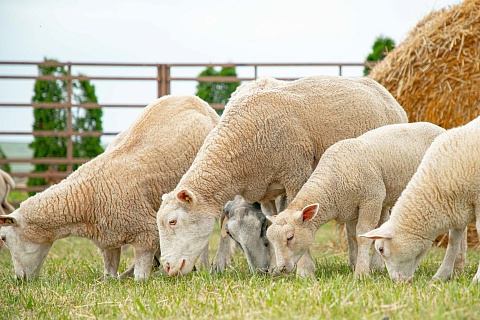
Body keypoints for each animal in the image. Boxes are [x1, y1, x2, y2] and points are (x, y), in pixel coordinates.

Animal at [0, 95, 219, 280]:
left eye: (3, 238)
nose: (19, 279)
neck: (86, 197)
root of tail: (193, 99)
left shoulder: (146, 231)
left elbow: (141, 272)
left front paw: (141, 279)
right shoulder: (107, 240)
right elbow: (110, 273)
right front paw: (116, 279)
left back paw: (201, 267)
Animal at [156, 75, 406, 278]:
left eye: (172, 221)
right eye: (230, 233)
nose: (168, 268)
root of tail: (383, 91)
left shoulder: (296, 175)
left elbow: (298, 219)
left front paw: (305, 270)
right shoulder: (265, 190)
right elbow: (273, 219)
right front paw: (278, 267)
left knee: (380, 219)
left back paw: (374, 265)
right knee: (352, 225)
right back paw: (354, 262)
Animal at [264, 122, 444, 278]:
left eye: (290, 237)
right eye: (271, 239)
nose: (282, 269)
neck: (333, 180)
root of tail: (438, 127)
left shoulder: (370, 200)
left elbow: (363, 235)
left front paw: (361, 273)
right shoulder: (350, 210)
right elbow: (353, 237)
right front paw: (357, 265)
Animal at [360, 115, 480, 282]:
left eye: (381, 249)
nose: (396, 282)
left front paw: (476, 279)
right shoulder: (459, 207)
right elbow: (453, 241)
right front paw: (440, 276)